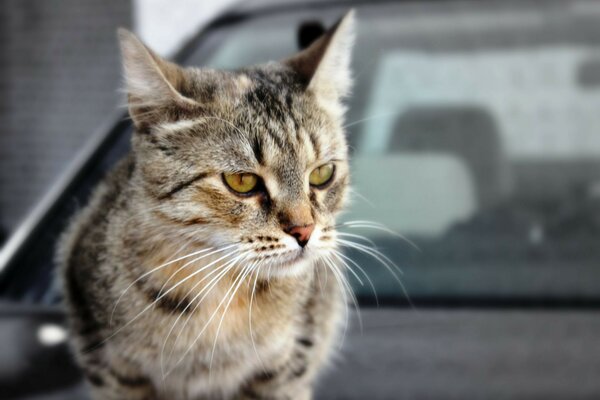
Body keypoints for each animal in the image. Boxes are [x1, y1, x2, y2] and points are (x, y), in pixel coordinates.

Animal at [56, 9, 356, 400]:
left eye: (322, 173)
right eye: (242, 181)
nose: (304, 231)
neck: (221, 295)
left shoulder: (287, 365)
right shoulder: (109, 364)